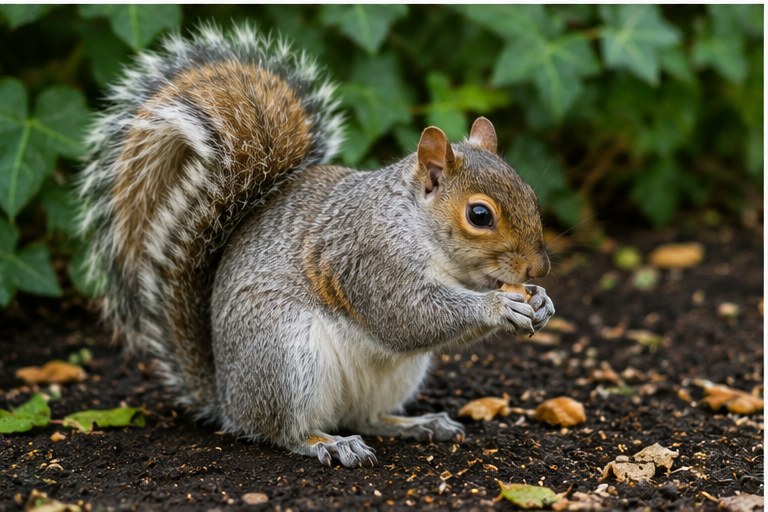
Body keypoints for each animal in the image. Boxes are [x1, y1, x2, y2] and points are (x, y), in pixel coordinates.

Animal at [78, 24, 555, 468]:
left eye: (531, 193)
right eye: (480, 216)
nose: (539, 270)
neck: (417, 225)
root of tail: (227, 398)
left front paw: (540, 301)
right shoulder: (370, 256)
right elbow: (406, 315)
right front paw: (498, 306)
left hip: (395, 374)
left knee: (365, 416)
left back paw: (415, 423)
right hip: (286, 355)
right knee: (282, 431)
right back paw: (328, 443)